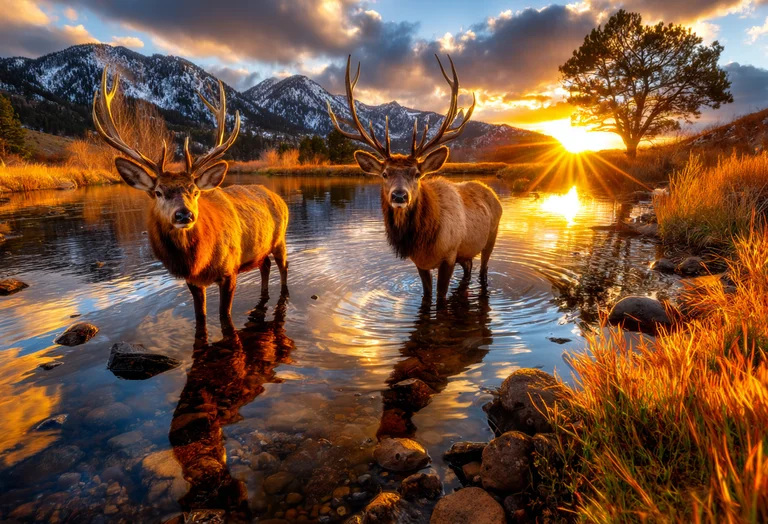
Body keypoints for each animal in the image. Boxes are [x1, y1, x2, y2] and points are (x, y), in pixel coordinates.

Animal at [92, 68, 289, 329]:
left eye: (195, 191)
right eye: (158, 192)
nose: (184, 214)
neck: (197, 261)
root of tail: (278, 198)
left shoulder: (229, 271)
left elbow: (224, 317)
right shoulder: (192, 281)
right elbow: (200, 317)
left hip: (280, 239)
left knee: (283, 267)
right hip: (259, 248)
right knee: (264, 266)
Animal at [327, 55, 502, 302]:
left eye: (417, 174)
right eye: (384, 174)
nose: (400, 196)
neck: (423, 241)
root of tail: (491, 192)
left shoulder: (449, 256)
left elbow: (440, 298)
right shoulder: (421, 263)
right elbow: (427, 295)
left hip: (491, 238)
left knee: (483, 271)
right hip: (466, 253)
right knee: (469, 269)